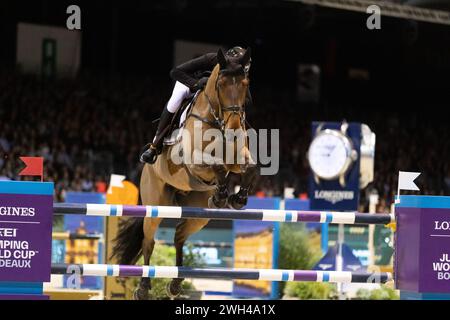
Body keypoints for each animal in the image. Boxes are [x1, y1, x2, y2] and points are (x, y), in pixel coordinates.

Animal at [110, 48, 258, 300]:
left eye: (246, 84)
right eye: (221, 84)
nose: (234, 128)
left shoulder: (238, 159)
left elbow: (251, 167)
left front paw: (237, 198)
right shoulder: (193, 162)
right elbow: (216, 165)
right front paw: (223, 194)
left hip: (199, 214)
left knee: (179, 234)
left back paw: (176, 284)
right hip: (156, 204)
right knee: (149, 241)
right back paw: (143, 287)